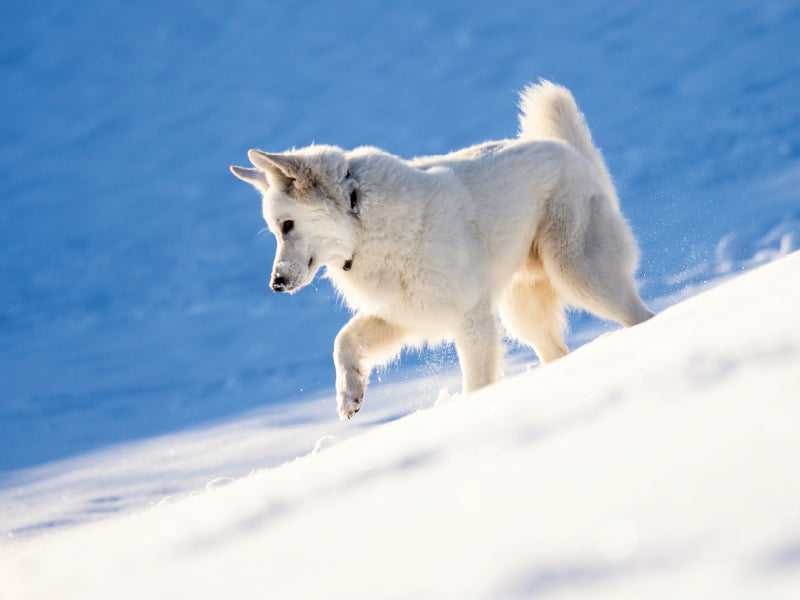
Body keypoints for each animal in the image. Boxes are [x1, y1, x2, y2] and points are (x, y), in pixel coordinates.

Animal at [231, 80, 654, 419]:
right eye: (276, 229)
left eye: (287, 225)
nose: (276, 284)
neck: (361, 218)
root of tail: (571, 152)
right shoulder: (402, 313)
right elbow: (343, 341)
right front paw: (350, 394)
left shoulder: (471, 319)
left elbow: (478, 383)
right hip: (523, 312)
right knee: (558, 350)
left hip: (578, 273)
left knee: (641, 316)